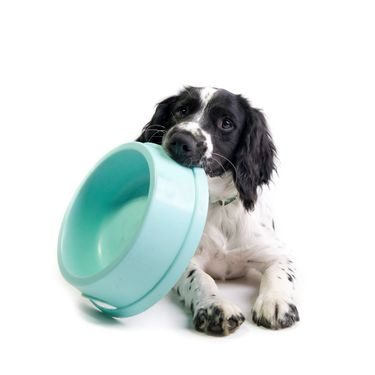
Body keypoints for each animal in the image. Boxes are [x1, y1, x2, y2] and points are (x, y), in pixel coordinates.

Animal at [136, 86, 300, 336]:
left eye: (226, 123)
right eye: (181, 110)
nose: (180, 140)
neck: (220, 206)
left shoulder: (277, 252)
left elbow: (280, 272)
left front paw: (275, 301)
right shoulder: (187, 261)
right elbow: (200, 278)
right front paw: (216, 306)